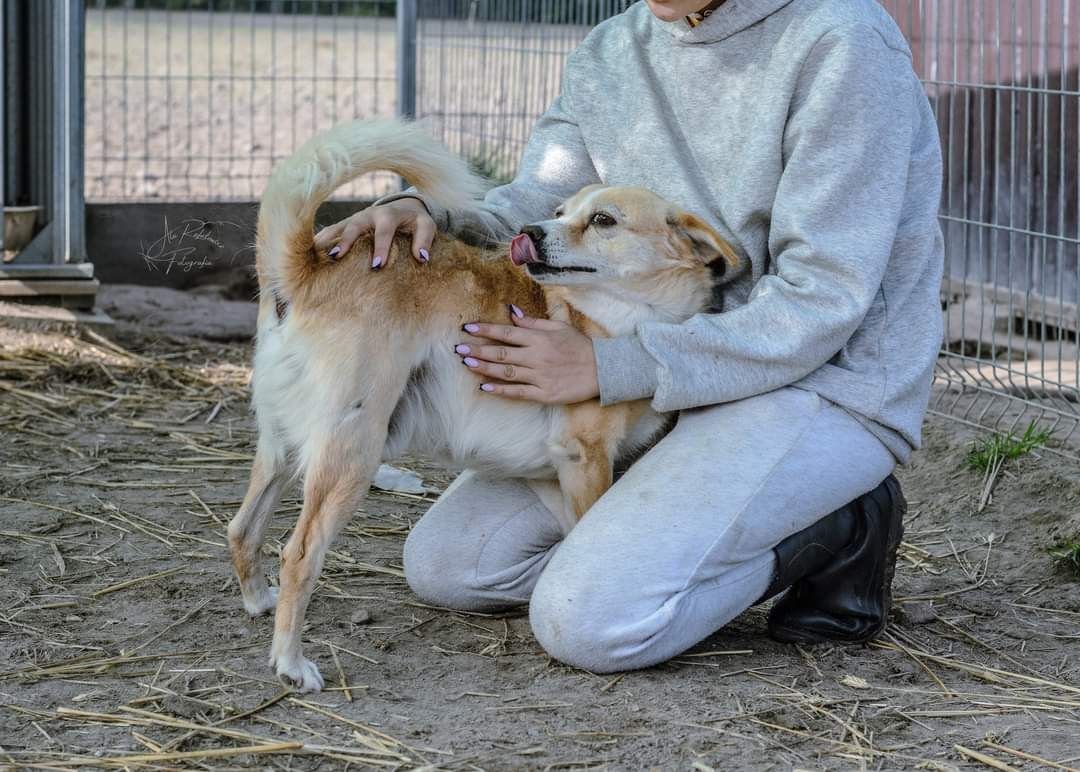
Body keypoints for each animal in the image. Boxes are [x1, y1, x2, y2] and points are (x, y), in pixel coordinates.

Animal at [224, 117, 738, 691]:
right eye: (561, 212)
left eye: (603, 220)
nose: (530, 232)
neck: (625, 315)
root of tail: (306, 266)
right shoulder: (585, 457)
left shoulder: (553, 471)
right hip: (351, 452)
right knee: (298, 554)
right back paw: (291, 662)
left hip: (283, 446)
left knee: (242, 528)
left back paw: (259, 601)